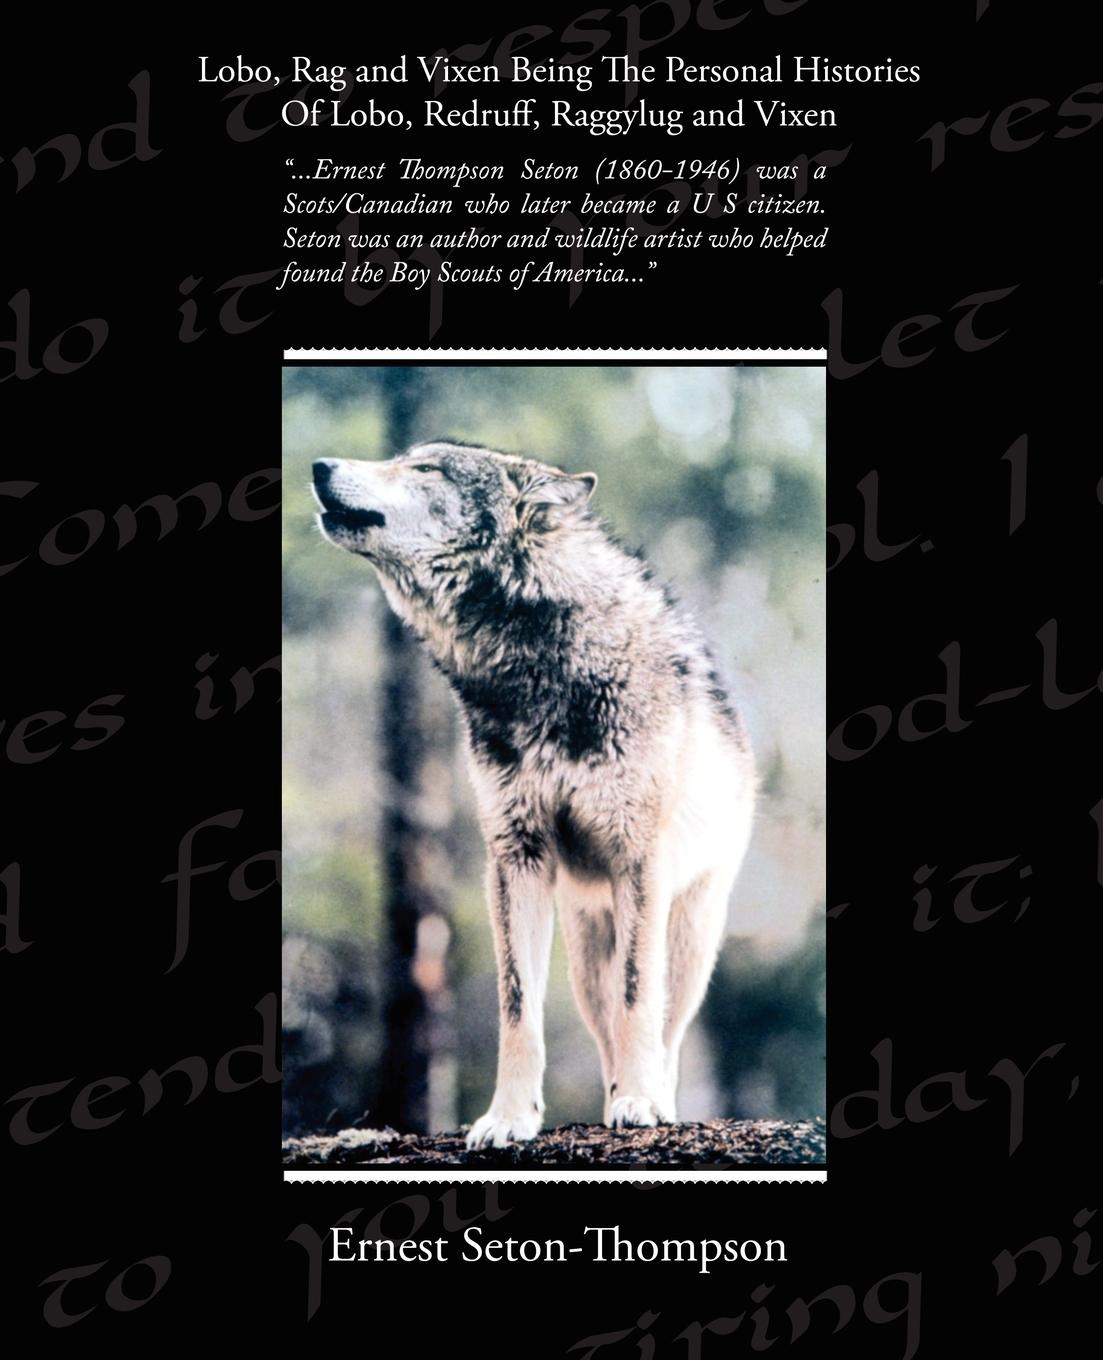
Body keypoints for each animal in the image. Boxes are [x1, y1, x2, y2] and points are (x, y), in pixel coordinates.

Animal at [313, 441, 756, 1149]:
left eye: (426, 469)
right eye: (405, 459)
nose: (319, 466)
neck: (534, 664)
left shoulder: (638, 860)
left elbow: (639, 998)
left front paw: (640, 1102)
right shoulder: (516, 857)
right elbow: (518, 1007)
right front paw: (509, 1117)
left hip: (687, 938)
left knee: (663, 1027)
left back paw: (649, 1097)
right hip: (585, 956)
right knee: (605, 1028)